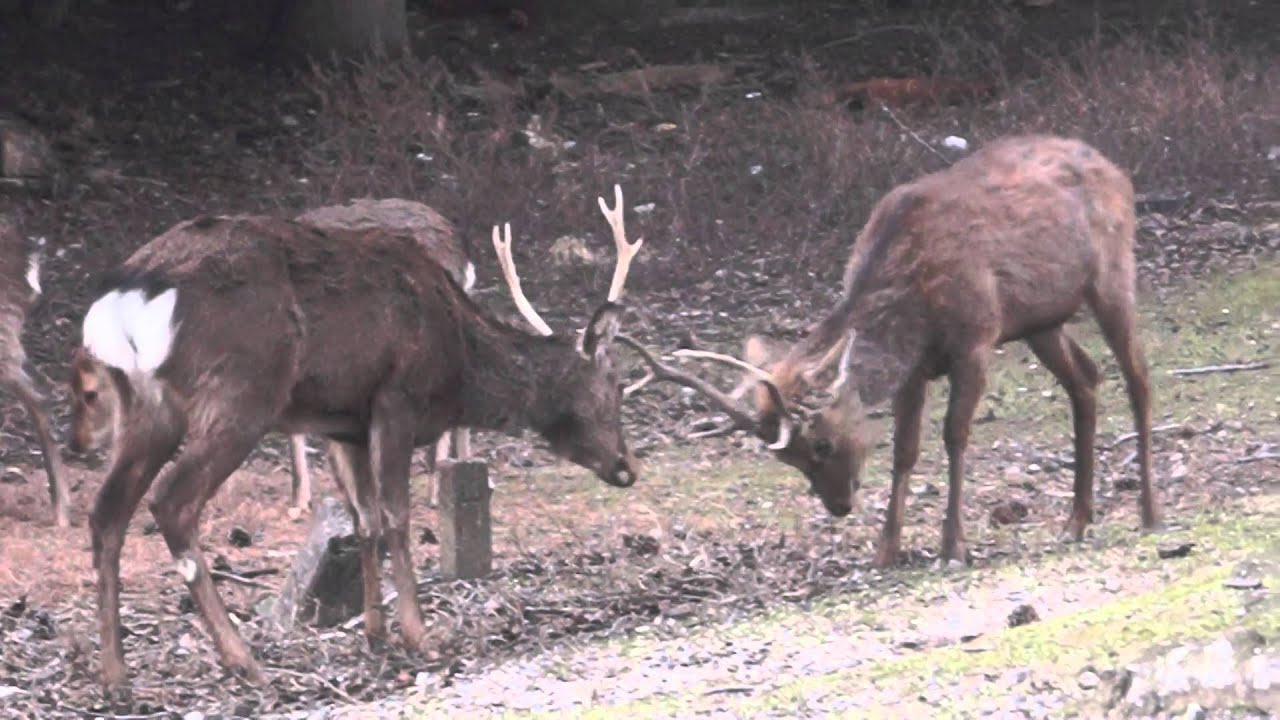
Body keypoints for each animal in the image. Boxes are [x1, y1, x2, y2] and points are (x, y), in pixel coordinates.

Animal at [619, 135, 1162, 566]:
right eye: (787, 460)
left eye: (821, 444)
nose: (838, 506)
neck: (910, 305)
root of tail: (1117, 170)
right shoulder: (916, 367)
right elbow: (905, 449)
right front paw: (887, 549)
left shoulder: (975, 337)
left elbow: (955, 435)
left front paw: (952, 546)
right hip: (1041, 320)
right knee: (1086, 379)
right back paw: (1076, 520)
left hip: (1112, 275)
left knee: (1138, 377)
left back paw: (1150, 512)